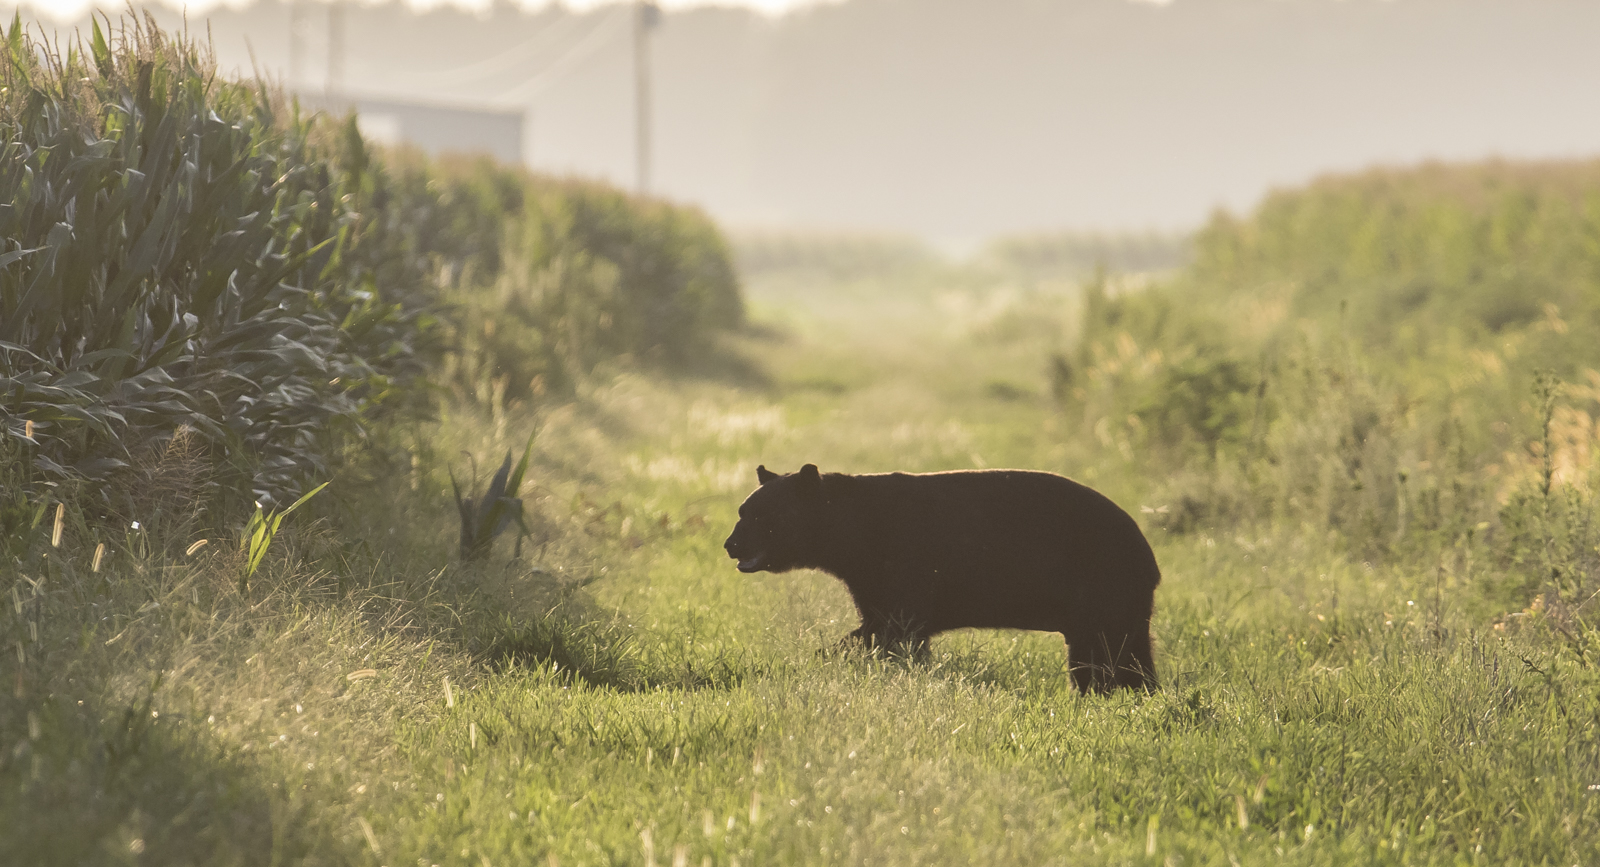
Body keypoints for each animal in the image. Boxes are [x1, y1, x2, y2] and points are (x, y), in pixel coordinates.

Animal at [723, 463, 1160, 693]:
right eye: (743, 511)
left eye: (761, 516)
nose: (730, 544)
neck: (854, 533)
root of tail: (1147, 552)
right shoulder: (869, 578)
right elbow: (878, 624)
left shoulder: (904, 564)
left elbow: (896, 629)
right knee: (1114, 655)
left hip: (1103, 586)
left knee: (1110, 653)